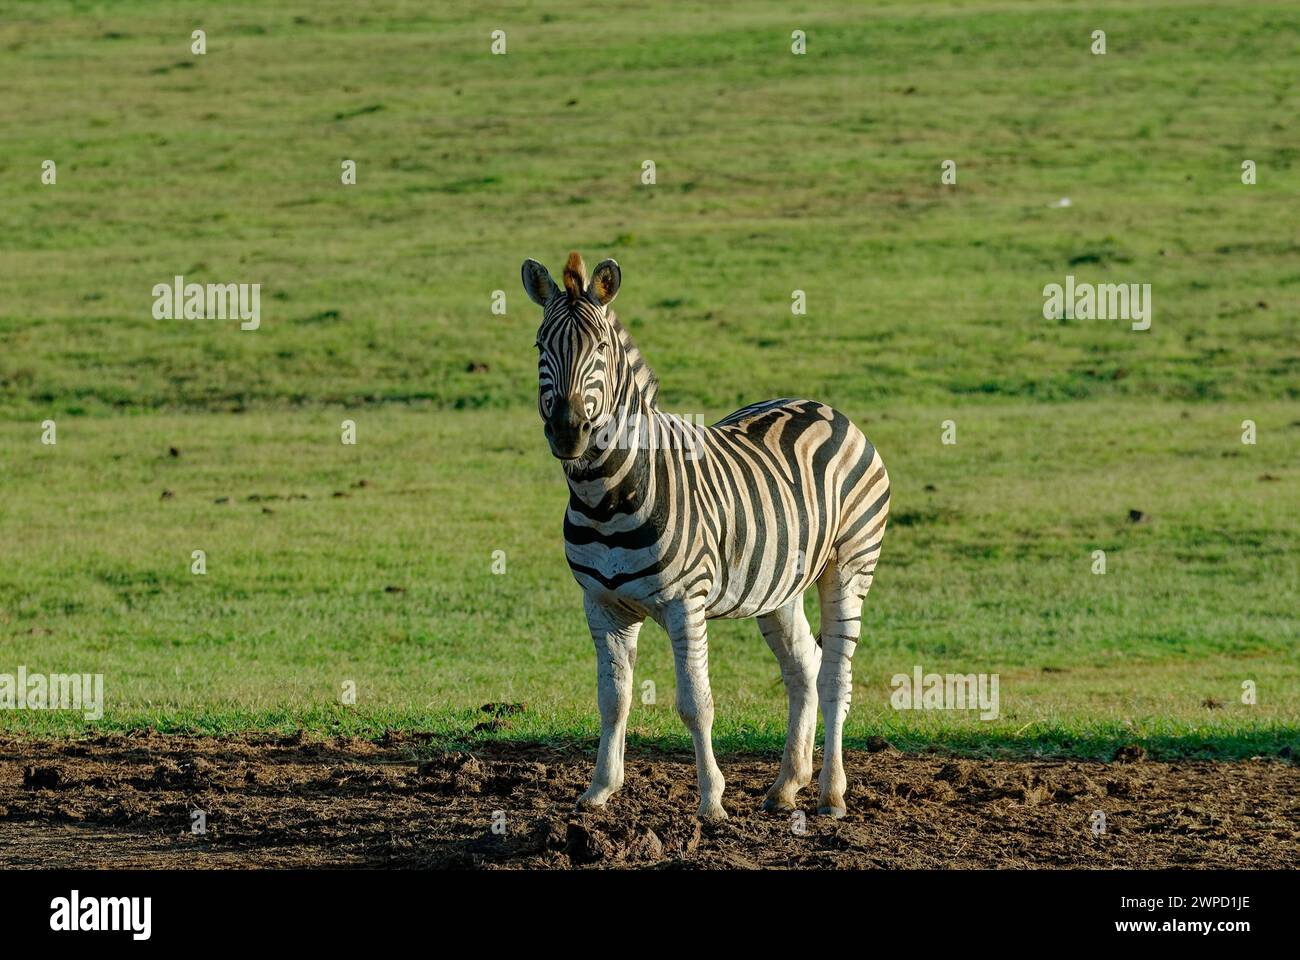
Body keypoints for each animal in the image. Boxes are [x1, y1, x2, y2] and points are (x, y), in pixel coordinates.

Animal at [522, 252, 890, 819]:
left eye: (600, 348)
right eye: (541, 346)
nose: (567, 431)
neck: (605, 497)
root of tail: (825, 408)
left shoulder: (683, 603)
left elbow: (695, 703)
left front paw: (711, 800)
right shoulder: (602, 605)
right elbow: (613, 700)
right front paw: (600, 789)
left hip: (850, 567)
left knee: (835, 676)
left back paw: (831, 794)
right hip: (780, 587)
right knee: (804, 668)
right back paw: (787, 784)